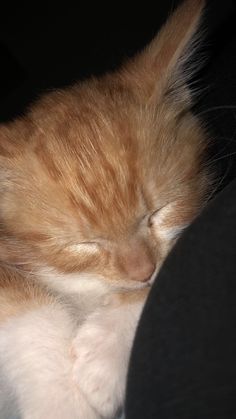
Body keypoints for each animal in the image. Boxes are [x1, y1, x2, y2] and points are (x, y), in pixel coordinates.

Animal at [0, 0, 210, 419]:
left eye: (159, 212)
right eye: (82, 245)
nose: (143, 272)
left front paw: (107, 348)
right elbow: (26, 303)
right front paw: (62, 400)